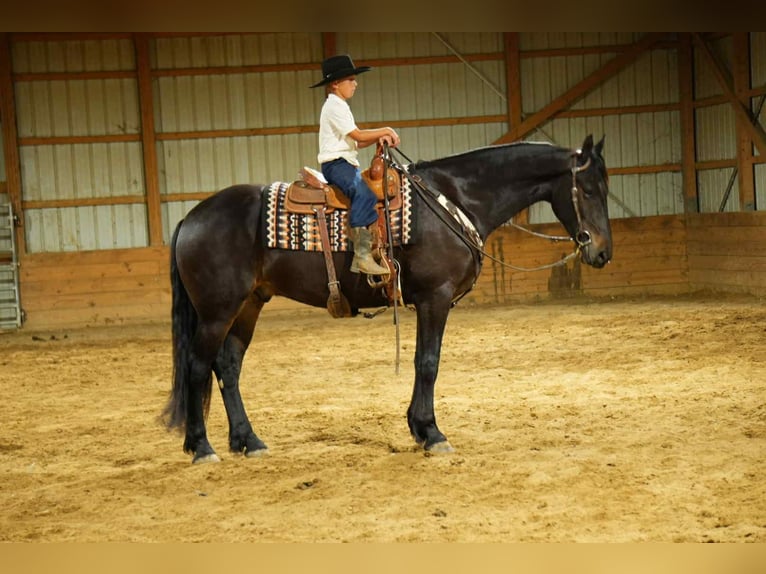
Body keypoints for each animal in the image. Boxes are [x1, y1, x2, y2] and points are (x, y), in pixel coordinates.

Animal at [162, 134, 613, 463]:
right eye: (589, 190)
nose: (602, 252)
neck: (454, 199)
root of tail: (191, 218)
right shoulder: (435, 299)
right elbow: (427, 363)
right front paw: (431, 433)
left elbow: (421, 362)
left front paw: (419, 428)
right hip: (217, 311)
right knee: (199, 366)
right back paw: (202, 448)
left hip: (249, 304)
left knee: (228, 366)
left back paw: (248, 441)